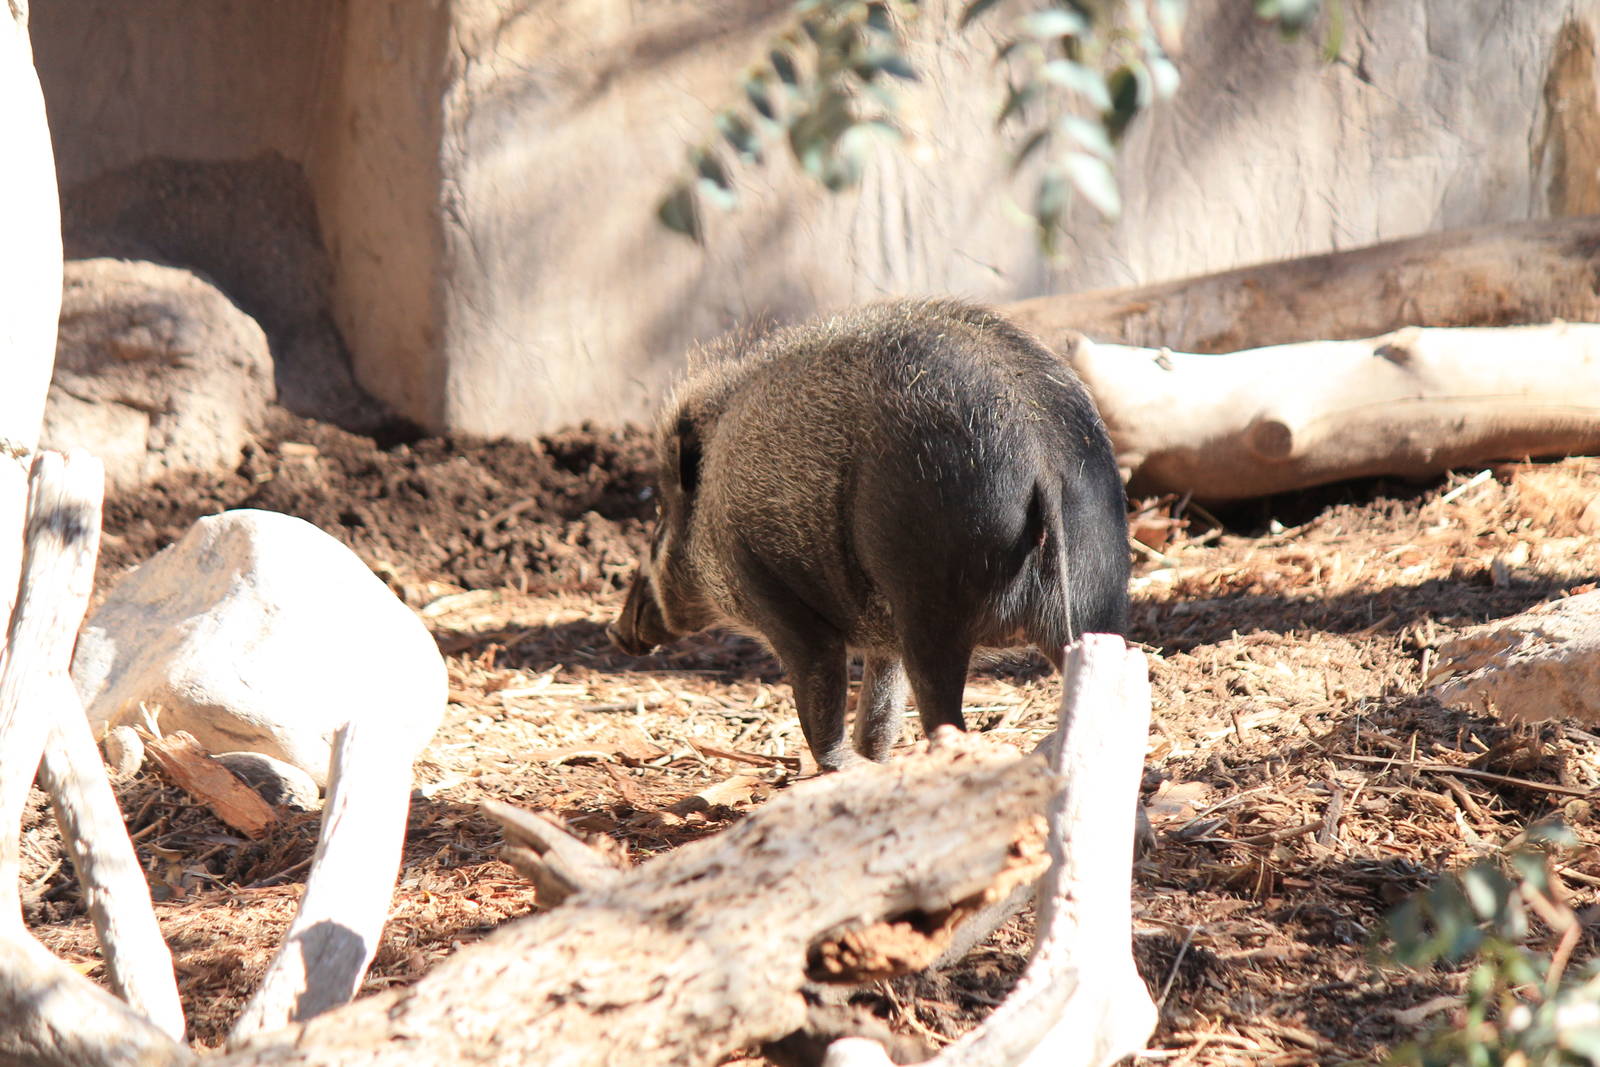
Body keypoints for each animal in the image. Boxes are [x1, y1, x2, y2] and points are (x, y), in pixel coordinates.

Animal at [608, 298, 1130, 771]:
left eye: (661, 512)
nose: (617, 632)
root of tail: (1040, 459)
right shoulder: (883, 638)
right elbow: (879, 711)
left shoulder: (773, 594)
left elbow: (824, 706)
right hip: (1096, 595)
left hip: (931, 603)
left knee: (945, 717)